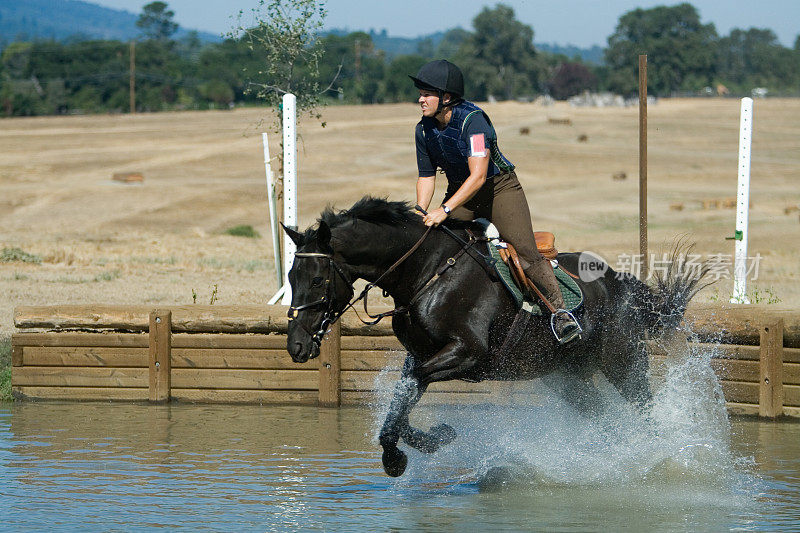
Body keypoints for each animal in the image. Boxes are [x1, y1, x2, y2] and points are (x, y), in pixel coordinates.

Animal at [284, 197, 708, 476]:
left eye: (318, 280)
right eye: (290, 277)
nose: (297, 346)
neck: (427, 271)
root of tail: (620, 283)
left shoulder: (465, 354)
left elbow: (409, 391)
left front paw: (400, 456)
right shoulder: (420, 356)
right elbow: (402, 400)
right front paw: (433, 439)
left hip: (622, 364)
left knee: (646, 415)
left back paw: (657, 458)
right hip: (570, 379)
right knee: (604, 419)